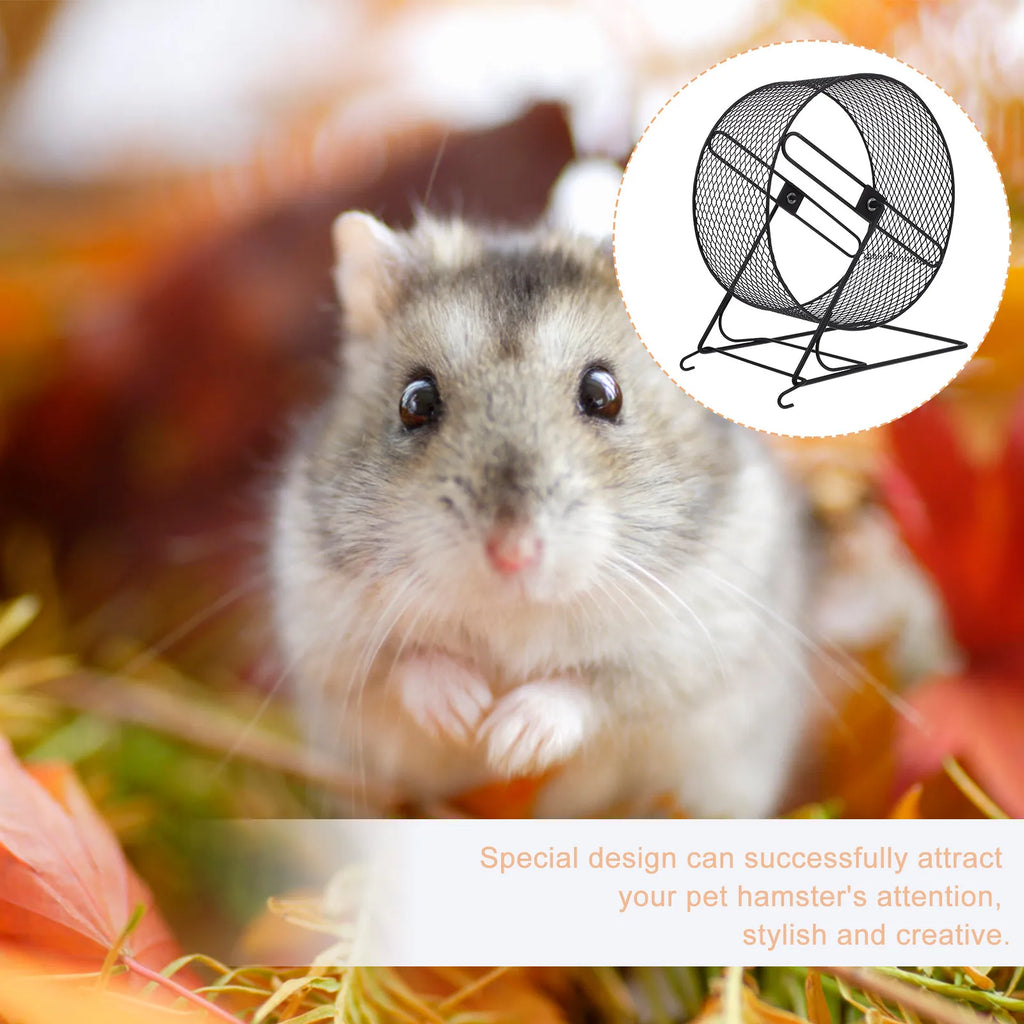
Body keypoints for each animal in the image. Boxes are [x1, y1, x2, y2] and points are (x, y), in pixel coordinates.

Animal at [271, 211, 815, 817]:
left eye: (604, 393)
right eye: (415, 401)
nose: (513, 554)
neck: (513, 615)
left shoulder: (694, 647)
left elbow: (595, 689)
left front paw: (508, 738)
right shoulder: (323, 633)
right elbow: (400, 666)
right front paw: (467, 714)